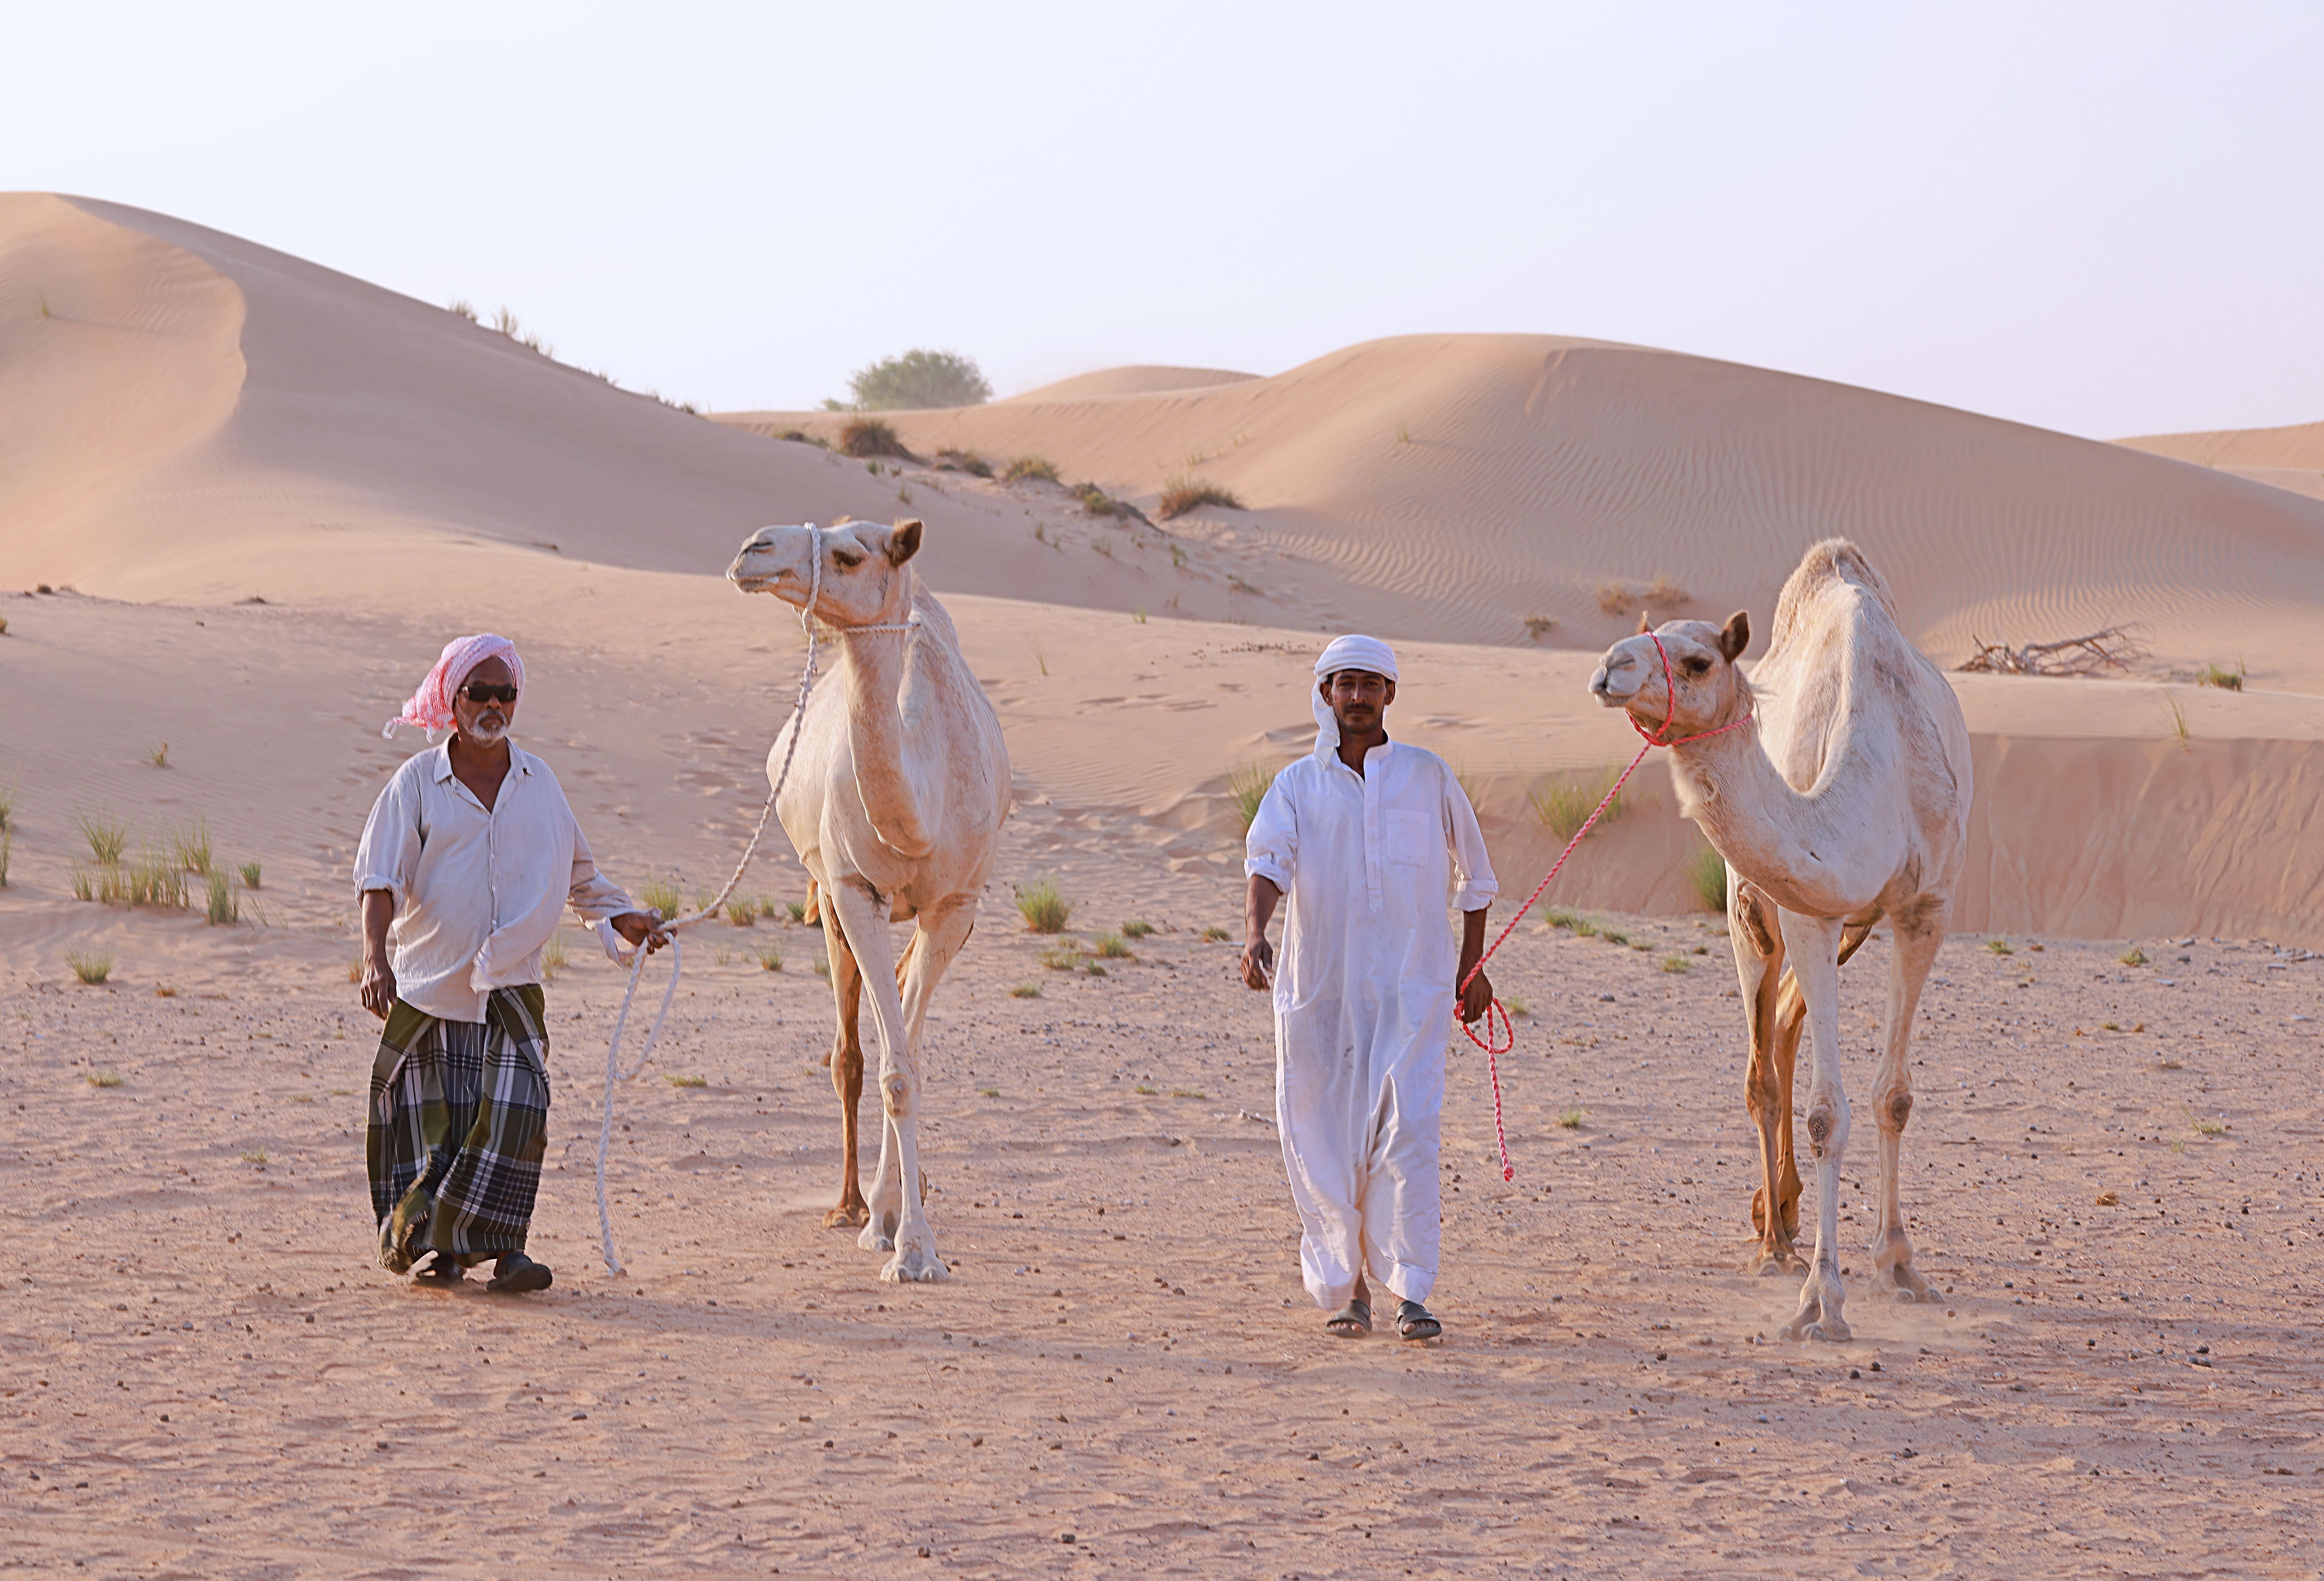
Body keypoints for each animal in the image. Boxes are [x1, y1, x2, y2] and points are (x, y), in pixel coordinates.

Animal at [727, 518, 1012, 1283]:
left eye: (850, 555)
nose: (752, 549)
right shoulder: (856, 890)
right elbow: (888, 1069)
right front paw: (903, 1238)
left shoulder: (957, 907)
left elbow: (908, 1057)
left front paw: (909, 1231)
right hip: (827, 892)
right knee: (849, 1055)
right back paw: (851, 1205)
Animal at [1589, 539, 1971, 1341]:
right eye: (1644, 633)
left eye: (1698, 659)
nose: (1609, 666)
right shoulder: (1804, 910)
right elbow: (1825, 1110)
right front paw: (1820, 1298)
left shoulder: (1924, 907)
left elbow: (1892, 1096)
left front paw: (1899, 1264)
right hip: (1750, 910)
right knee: (1762, 1067)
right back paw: (1774, 1241)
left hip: (1852, 922)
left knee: (1787, 1029)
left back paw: (1788, 1216)